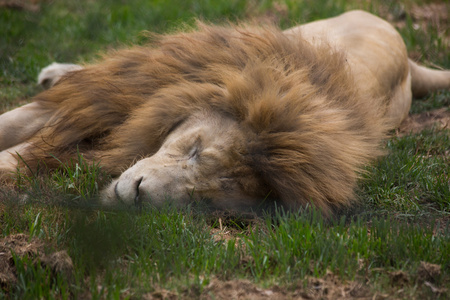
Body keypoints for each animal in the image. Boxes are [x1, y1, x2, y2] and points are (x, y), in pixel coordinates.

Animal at [0, 11, 450, 213]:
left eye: (205, 198)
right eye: (195, 150)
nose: (138, 196)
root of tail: (407, 56)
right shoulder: (99, 103)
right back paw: (56, 72)